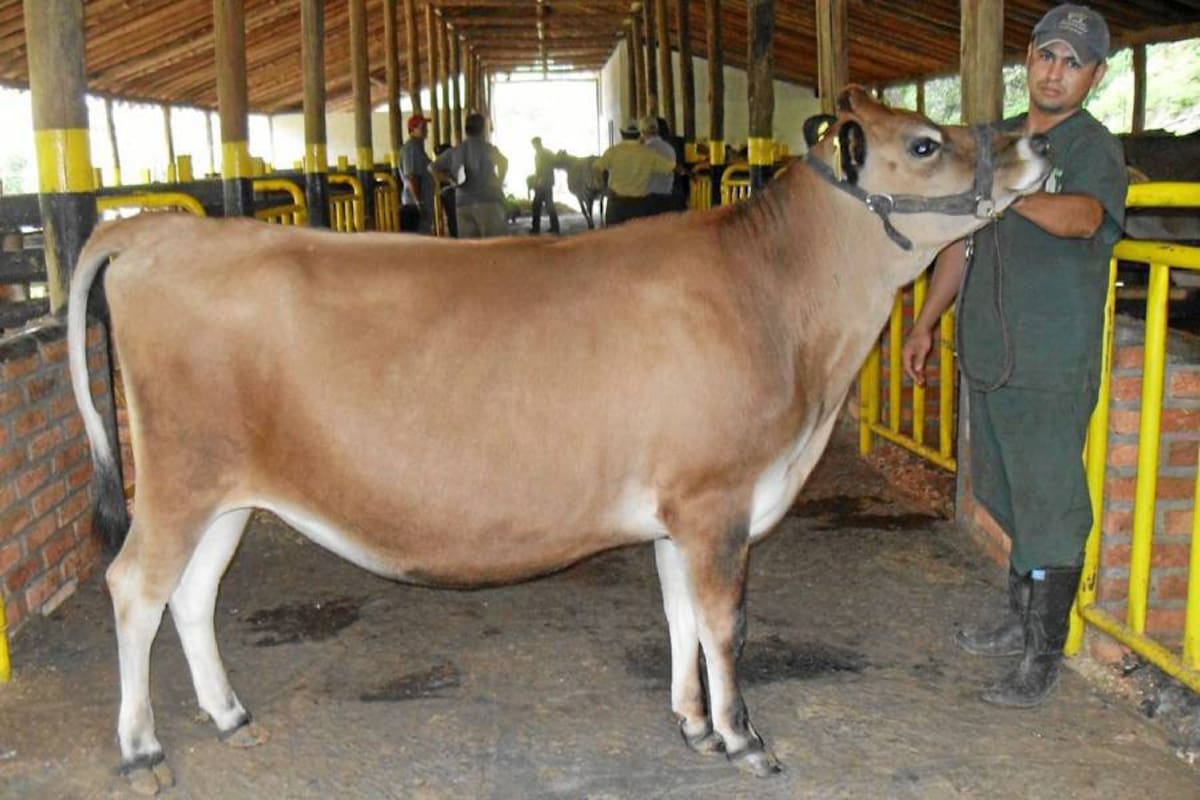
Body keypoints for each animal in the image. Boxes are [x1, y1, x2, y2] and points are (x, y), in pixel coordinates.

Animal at [67, 87, 1049, 794]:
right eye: (923, 143)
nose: (1034, 145)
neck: (779, 302)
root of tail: (156, 229)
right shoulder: (718, 497)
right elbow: (725, 622)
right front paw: (744, 738)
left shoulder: (679, 510)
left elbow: (679, 614)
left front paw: (693, 725)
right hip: (180, 479)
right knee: (134, 587)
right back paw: (141, 747)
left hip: (230, 490)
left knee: (192, 594)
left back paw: (228, 713)